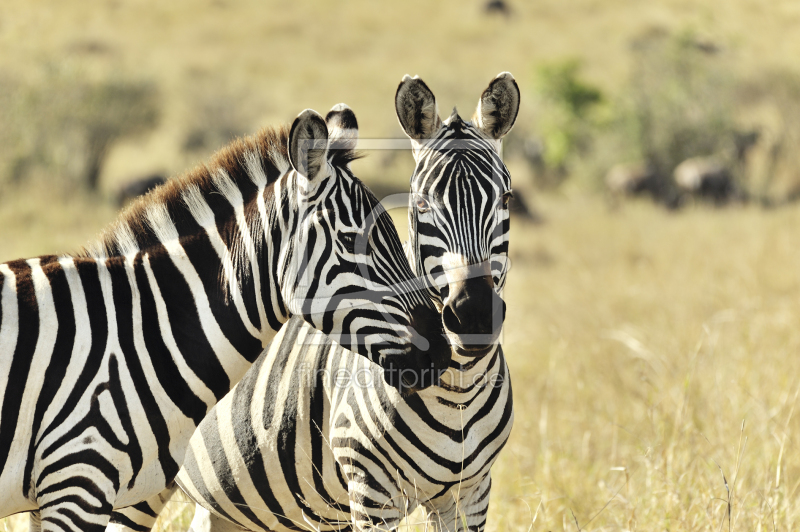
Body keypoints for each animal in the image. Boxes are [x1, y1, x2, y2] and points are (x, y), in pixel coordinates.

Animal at [166, 71, 520, 532]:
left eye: (506, 200)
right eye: (421, 204)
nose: (474, 314)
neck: (458, 391)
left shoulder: (471, 496)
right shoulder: (372, 495)